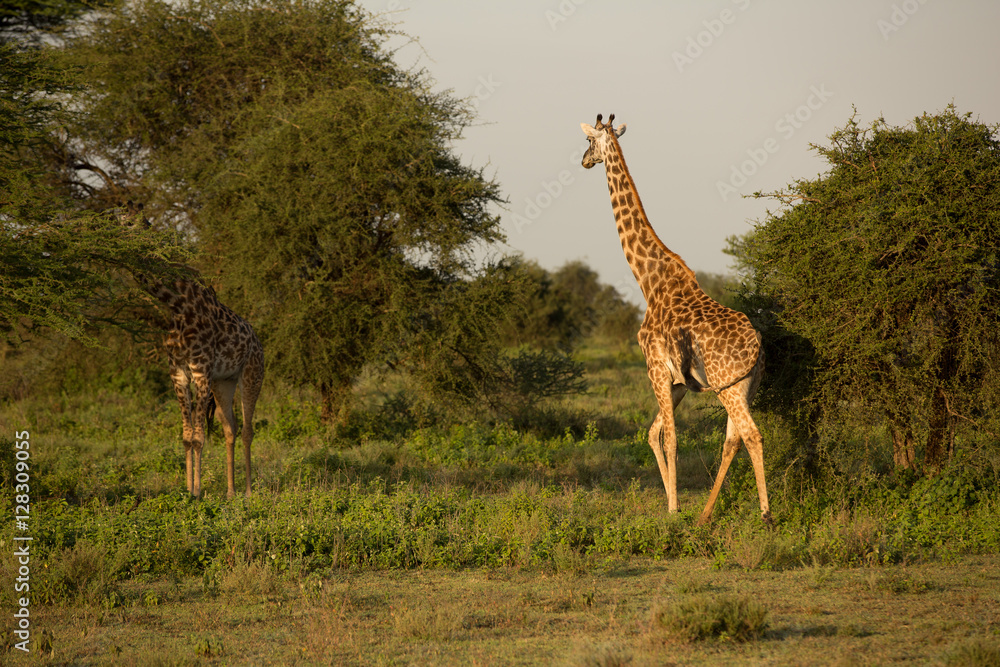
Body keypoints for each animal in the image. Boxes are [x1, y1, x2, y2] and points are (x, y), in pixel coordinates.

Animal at [118, 202, 264, 498]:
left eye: (132, 222)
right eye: (117, 220)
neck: (177, 305)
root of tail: (259, 343)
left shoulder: (200, 371)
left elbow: (198, 438)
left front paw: (196, 493)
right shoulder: (178, 372)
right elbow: (187, 438)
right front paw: (186, 490)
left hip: (251, 375)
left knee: (247, 430)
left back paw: (247, 491)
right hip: (224, 382)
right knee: (230, 428)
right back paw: (230, 491)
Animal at [579, 114, 770, 525]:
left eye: (588, 141)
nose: (584, 161)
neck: (648, 280)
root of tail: (759, 348)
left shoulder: (654, 368)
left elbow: (670, 437)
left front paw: (671, 509)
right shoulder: (679, 381)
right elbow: (655, 434)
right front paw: (675, 503)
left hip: (729, 387)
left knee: (750, 434)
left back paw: (766, 514)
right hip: (746, 387)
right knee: (732, 439)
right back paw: (705, 515)